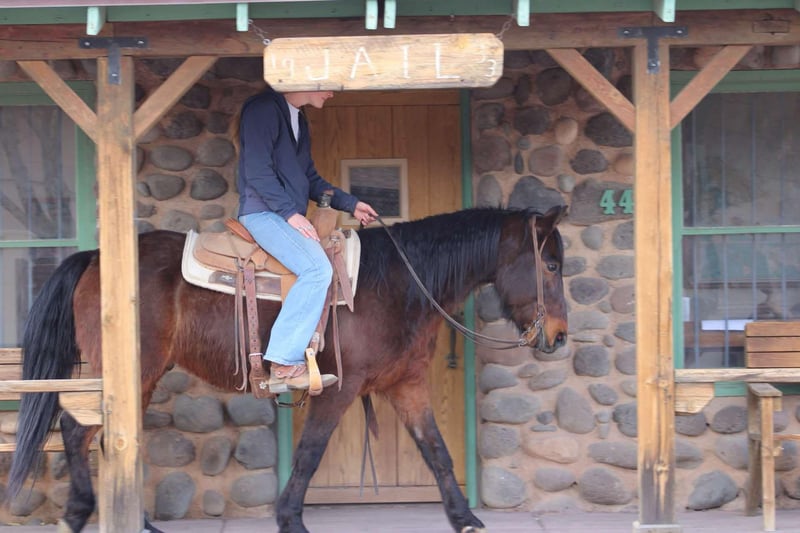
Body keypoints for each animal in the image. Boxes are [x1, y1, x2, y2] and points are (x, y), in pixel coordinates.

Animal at [7, 205, 568, 533]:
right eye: (551, 265)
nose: (560, 336)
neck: (398, 284)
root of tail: (96, 256)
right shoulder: (339, 389)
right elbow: (309, 455)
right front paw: (290, 520)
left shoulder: (406, 386)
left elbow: (436, 452)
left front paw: (465, 517)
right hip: (132, 371)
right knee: (81, 432)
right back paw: (81, 512)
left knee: (109, 437)